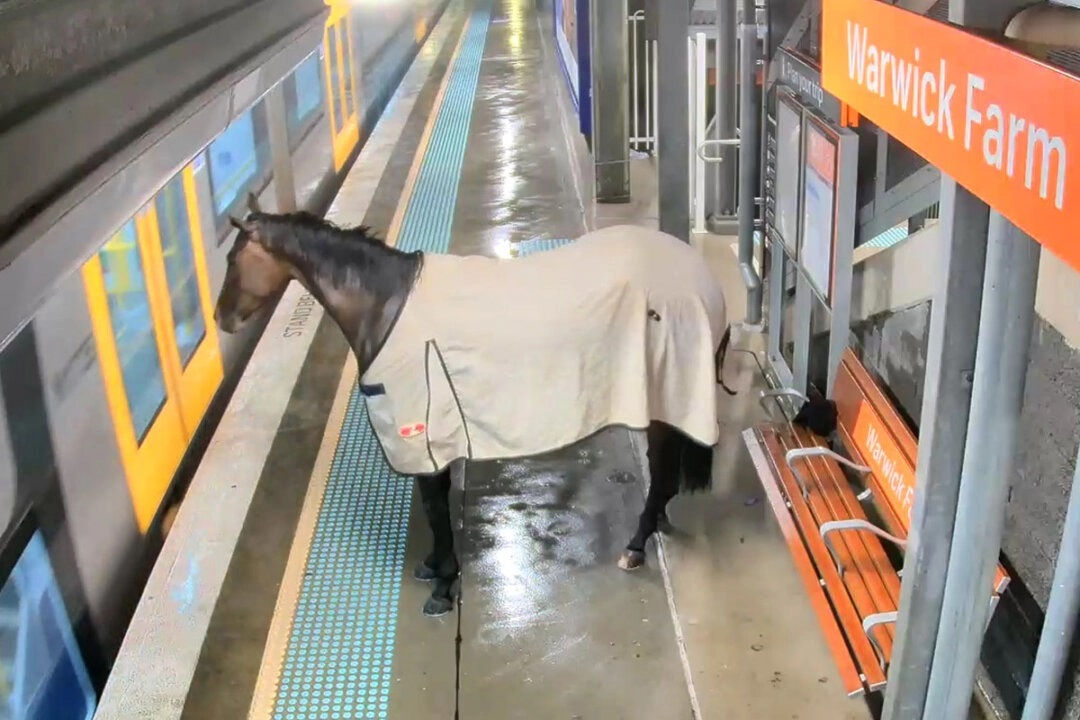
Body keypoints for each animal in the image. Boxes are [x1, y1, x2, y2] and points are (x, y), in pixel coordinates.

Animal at [212, 193, 734, 621]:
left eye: (234, 258)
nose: (221, 320)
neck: (385, 307)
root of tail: (703, 279)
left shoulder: (420, 437)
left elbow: (435, 511)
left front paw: (442, 586)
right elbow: (438, 507)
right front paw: (433, 568)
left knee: (662, 472)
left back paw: (635, 545)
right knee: (664, 473)